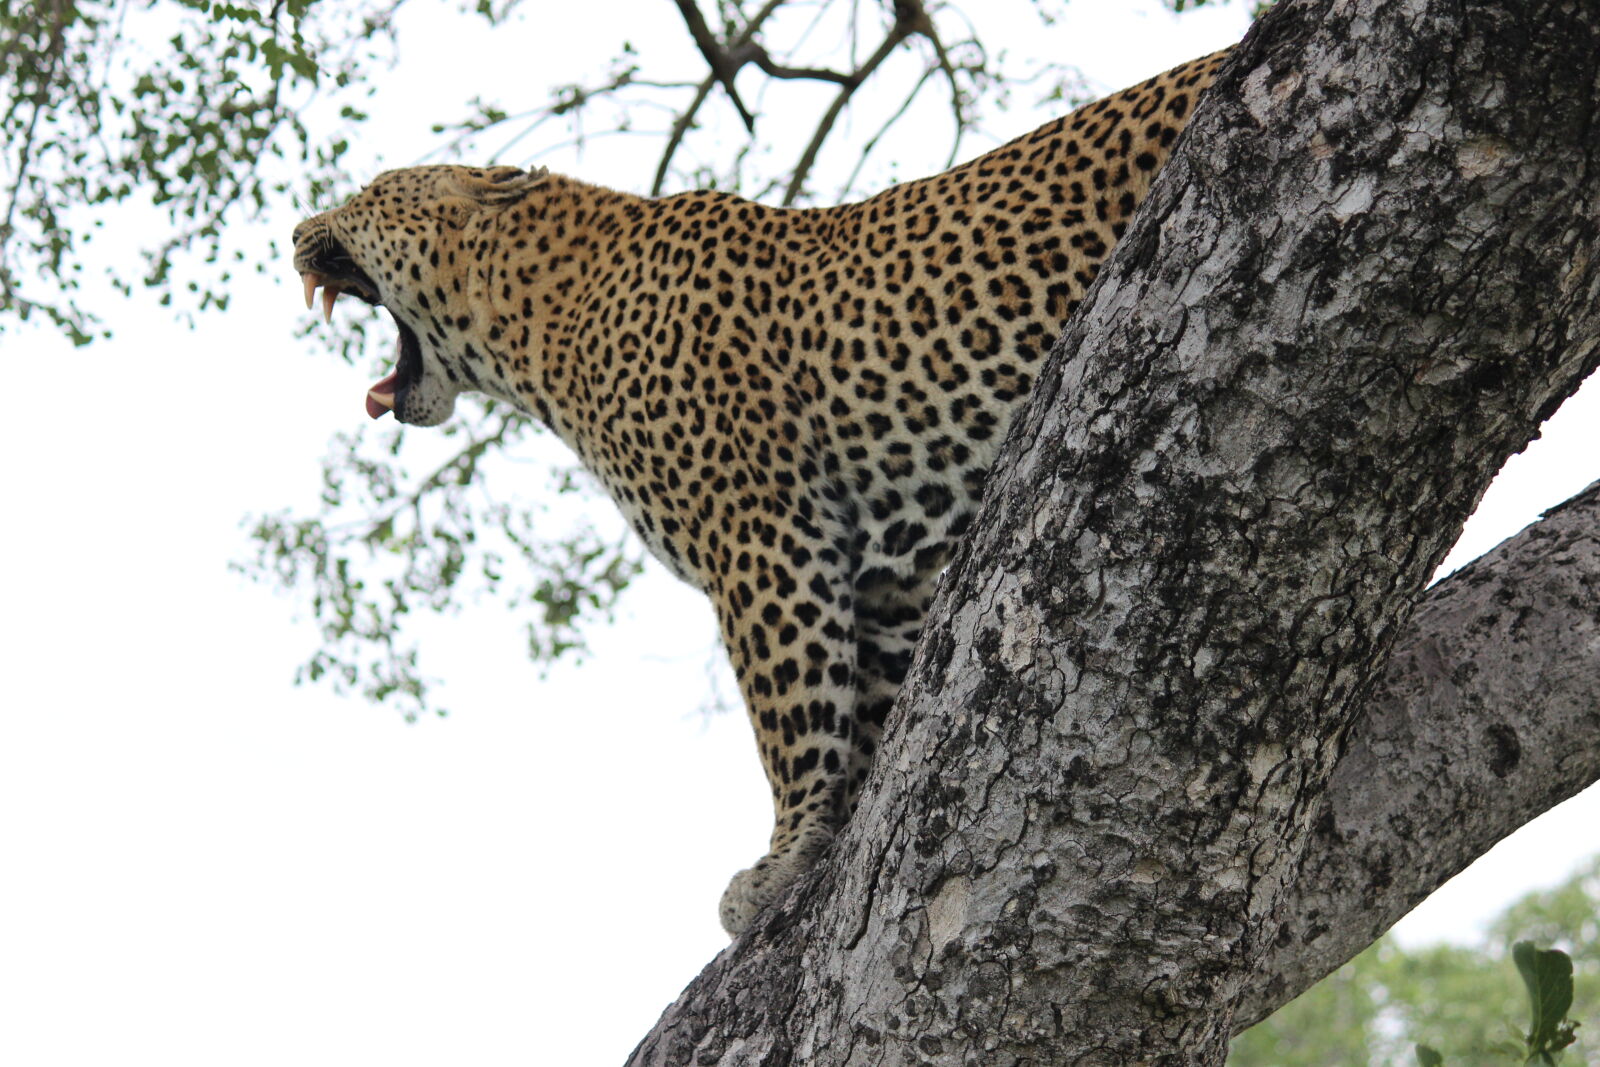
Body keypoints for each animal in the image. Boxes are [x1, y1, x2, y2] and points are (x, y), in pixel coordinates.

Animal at [291, 47, 1232, 936]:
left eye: (368, 192)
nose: (296, 230)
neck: (542, 324)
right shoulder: (888, 572)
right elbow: (861, 712)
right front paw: (832, 836)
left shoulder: (760, 532)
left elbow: (792, 712)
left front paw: (779, 861)